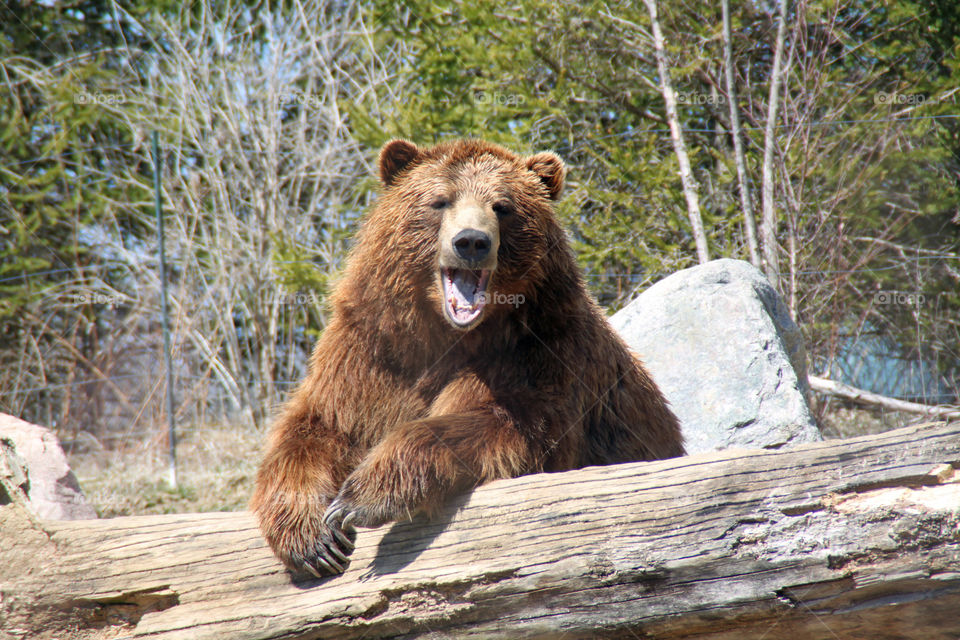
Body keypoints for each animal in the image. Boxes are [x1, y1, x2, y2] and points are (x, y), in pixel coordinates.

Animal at [248, 138, 684, 576]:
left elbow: (500, 425)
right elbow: (317, 427)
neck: (445, 334)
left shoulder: (537, 357)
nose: (472, 241)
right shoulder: (367, 356)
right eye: (440, 201)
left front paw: (360, 497)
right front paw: (313, 539)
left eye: (503, 206)